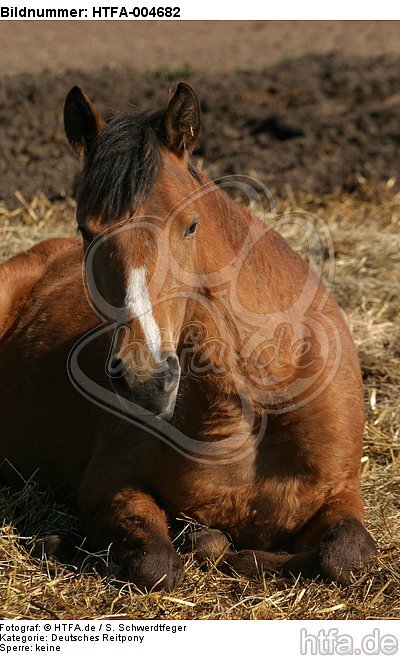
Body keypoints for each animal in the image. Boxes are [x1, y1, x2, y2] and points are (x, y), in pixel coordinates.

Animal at [0, 80, 376, 588]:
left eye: (191, 225)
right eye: (86, 230)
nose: (144, 382)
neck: (254, 400)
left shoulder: (342, 491)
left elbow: (348, 554)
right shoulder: (110, 482)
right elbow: (158, 563)